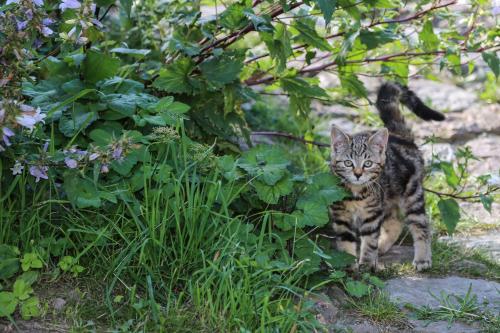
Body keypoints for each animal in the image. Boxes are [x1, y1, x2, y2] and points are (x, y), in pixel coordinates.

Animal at [330, 82, 444, 270]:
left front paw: (366, 264)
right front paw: (348, 265)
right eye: (348, 163)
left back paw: (422, 258)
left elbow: (369, 240)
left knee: (421, 225)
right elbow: (345, 243)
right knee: (395, 223)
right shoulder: (341, 217)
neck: (356, 195)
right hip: (388, 199)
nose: (358, 174)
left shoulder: (372, 214)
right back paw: (382, 247)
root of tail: (401, 136)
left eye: (368, 163)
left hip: (412, 194)